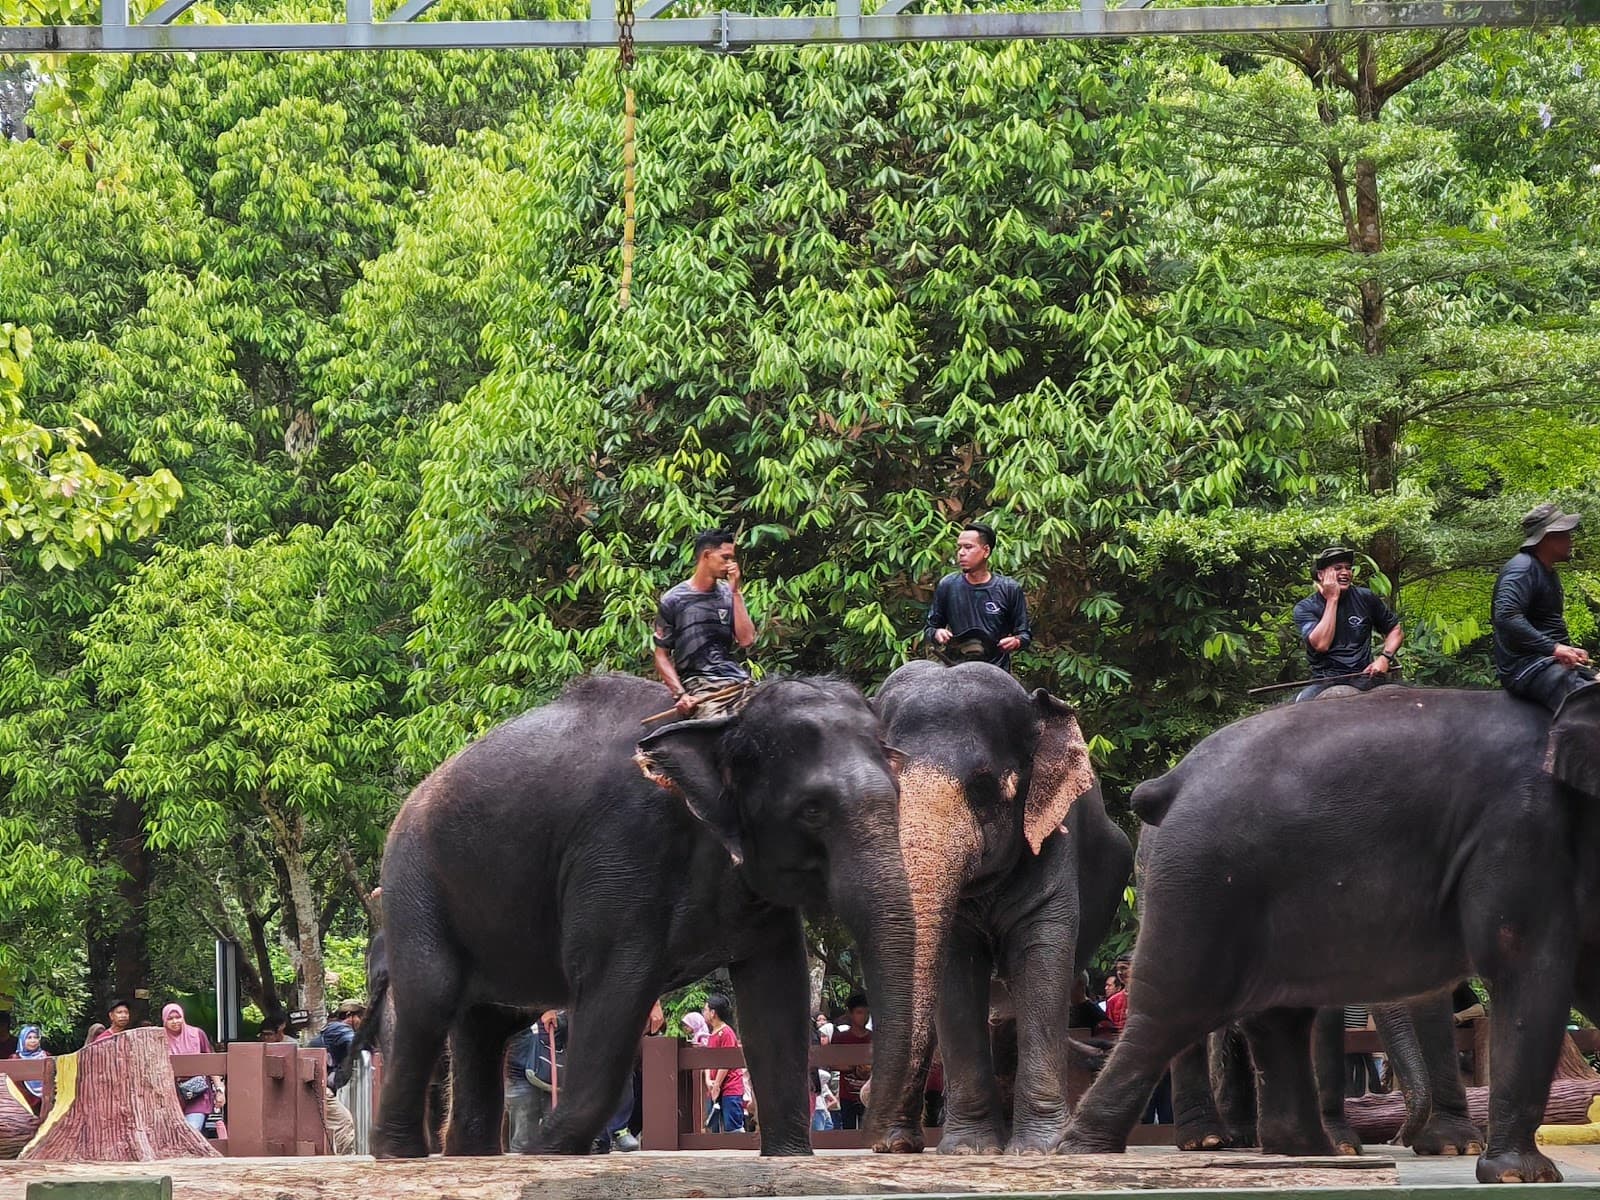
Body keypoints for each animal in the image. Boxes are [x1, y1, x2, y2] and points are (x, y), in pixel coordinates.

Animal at [372, 673, 934, 1157]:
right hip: (412, 880)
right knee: (430, 998)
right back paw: (399, 1155)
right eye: (813, 809)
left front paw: (789, 1157)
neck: (722, 723)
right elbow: (616, 989)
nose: (885, 1138)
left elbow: (778, 993)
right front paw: (547, 1153)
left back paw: (470, 1155)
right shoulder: (621, 851)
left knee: (485, 1025)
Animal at [872, 660, 1134, 1155]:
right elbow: (955, 972)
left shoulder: (1053, 839)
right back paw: (895, 1143)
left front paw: (1038, 1149)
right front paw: (970, 1149)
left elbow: (1041, 962)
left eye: (983, 787)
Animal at [1059, 684, 1600, 1183]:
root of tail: (1173, 780)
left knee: (1273, 1016)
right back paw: (1092, 1151)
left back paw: (1304, 1150)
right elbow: (1523, 963)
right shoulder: (1521, 825)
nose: (1400, 1136)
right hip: (1198, 878)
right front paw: (1520, 1174)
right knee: (1176, 1006)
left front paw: (1464, 1152)